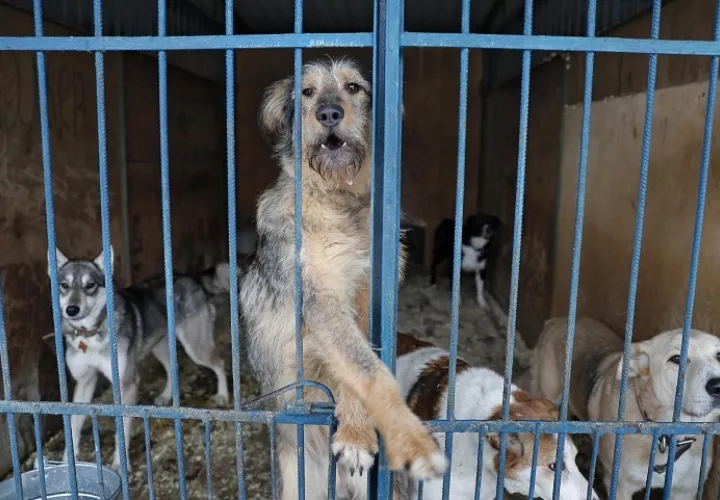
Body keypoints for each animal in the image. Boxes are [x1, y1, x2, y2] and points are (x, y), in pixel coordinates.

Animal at [48, 248, 228, 470]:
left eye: (90, 285)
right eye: (64, 285)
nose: (71, 310)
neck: (90, 333)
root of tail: (191, 278)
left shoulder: (127, 384)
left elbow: (122, 428)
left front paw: (120, 464)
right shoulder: (85, 382)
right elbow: (74, 423)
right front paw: (67, 464)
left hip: (196, 348)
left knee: (219, 363)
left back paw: (222, 395)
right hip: (160, 348)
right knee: (173, 367)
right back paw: (166, 396)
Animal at [532, 316, 720, 500]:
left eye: (719, 355)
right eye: (676, 359)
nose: (717, 386)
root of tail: (558, 319)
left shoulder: (686, 490)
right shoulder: (619, 485)